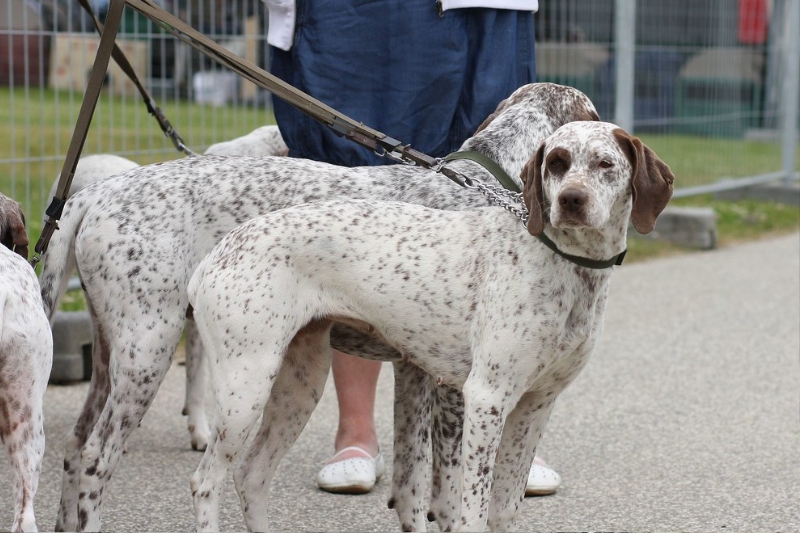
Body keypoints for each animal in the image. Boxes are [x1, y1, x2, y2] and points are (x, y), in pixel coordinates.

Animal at [188, 121, 676, 532]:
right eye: (556, 162)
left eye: (605, 164)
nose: (570, 200)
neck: (565, 264)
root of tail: (217, 254)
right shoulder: (486, 399)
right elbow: (470, 510)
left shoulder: (536, 404)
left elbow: (504, 509)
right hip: (244, 390)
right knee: (206, 481)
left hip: (299, 385)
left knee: (252, 475)